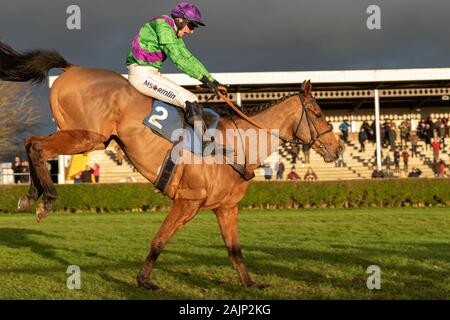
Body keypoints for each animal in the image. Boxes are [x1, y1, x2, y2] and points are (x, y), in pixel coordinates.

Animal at [0, 41, 342, 288]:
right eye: (318, 113)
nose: (337, 148)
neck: (236, 145)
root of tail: (72, 68)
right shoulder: (187, 201)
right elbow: (159, 240)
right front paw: (143, 280)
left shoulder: (225, 208)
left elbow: (234, 250)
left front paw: (249, 283)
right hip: (89, 137)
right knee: (36, 146)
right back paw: (46, 199)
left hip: (83, 136)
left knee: (30, 141)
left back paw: (31, 196)